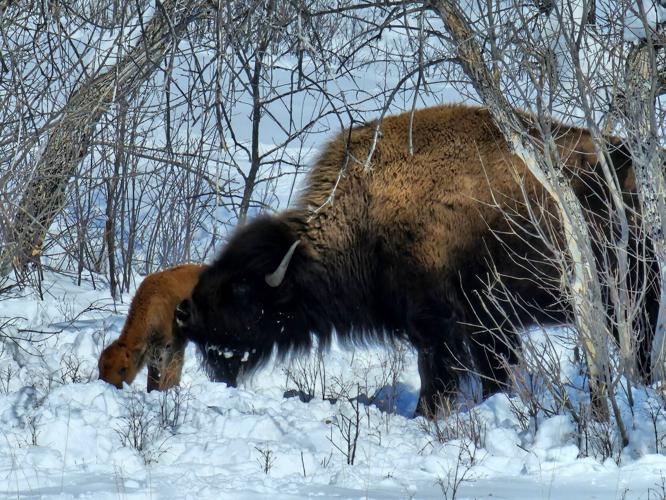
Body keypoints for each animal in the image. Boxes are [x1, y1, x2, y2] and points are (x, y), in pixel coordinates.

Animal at [174, 104, 642, 416]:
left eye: (241, 289)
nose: (184, 313)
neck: (365, 213)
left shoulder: (445, 322)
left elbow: (441, 370)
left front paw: (426, 415)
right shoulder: (488, 325)